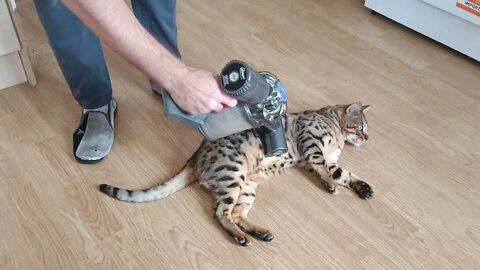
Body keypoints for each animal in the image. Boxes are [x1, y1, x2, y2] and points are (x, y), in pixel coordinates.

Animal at [99, 102, 374, 246]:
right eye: (361, 127)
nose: (367, 138)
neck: (337, 131)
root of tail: (195, 156)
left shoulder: (325, 160)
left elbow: (344, 173)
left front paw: (363, 187)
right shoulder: (310, 143)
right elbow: (326, 171)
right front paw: (330, 184)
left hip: (247, 186)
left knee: (238, 214)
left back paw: (259, 232)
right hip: (233, 175)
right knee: (220, 212)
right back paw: (241, 237)